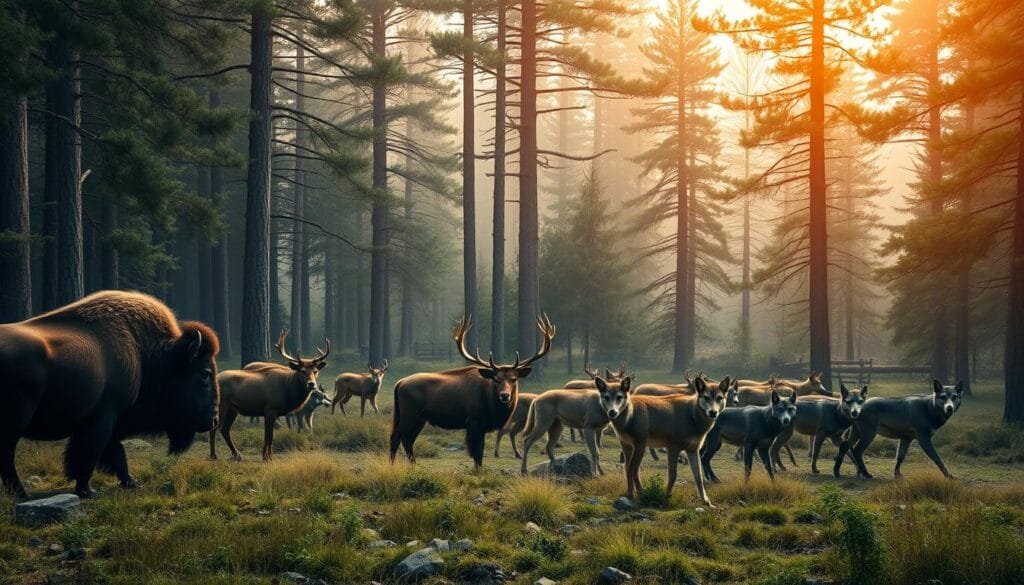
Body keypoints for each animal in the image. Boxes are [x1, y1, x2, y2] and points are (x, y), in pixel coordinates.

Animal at [211, 331, 329, 461]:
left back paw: (237, 455)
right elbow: (269, 436)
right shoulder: (271, 409)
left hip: (233, 409)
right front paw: (267, 457)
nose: (311, 384)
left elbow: (268, 435)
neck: (288, 390)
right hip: (221, 404)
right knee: (214, 428)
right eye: (302, 370)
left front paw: (267, 456)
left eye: (315, 371)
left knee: (225, 429)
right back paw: (214, 455)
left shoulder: (271, 412)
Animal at [390, 315, 555, 470]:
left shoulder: (482, 426)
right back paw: (392, 465)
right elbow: (476, 453)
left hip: (420, 418)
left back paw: (413, 465)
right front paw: (477, 471)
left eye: (514, 379)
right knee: (396, 436)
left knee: (408, 440)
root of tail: (399, 383)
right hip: (409, 413)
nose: (505, 395)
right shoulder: (473, 421)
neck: (492, 409)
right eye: (496, 379)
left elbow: (480, 452)